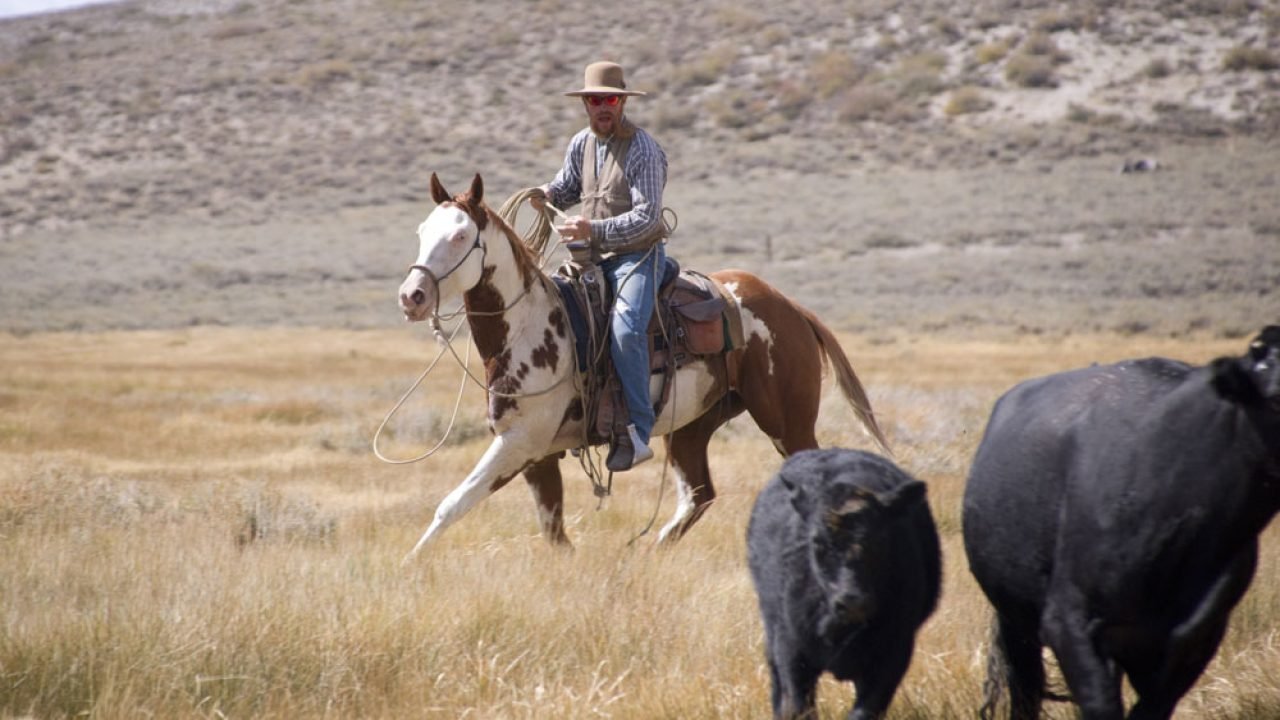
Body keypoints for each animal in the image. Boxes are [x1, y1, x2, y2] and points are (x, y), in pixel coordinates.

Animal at [394, 174, 885, 561]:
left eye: (460, 237)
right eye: (421, 231)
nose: (412, 296)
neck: (529, 326)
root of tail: (792, 308)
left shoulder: (518, 444)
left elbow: (454, 503)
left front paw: (409, 564)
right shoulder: (538, 453)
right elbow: (553, 528)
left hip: (788, 424)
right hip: (691, 428)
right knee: (698, 495)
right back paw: (648, 553)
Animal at [747, 445, 942, 712]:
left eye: (881, 538)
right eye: (817, 541)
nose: (852, 602)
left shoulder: (892, 658)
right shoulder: (791, 652)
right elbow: (799, 706)